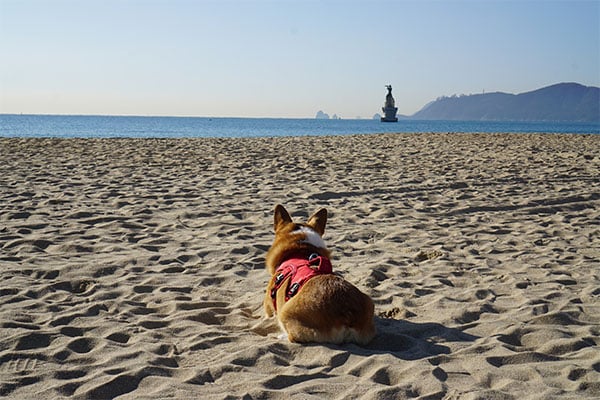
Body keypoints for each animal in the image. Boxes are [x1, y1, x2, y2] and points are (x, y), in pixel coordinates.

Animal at [264, 205, 376, 346]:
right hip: (369, 302)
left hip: (285, 313)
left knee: (293, 336)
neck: (302, 249)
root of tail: (347, 314)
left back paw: (280, 336)